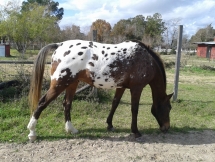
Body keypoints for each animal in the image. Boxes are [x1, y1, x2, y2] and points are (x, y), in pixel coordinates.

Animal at [26, 39, 173, 142]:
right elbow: (134, 109)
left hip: (72, 84)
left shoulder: (121, 87)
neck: (146, 59)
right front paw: (135, 131)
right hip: (60, 84)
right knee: (42, 103)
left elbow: (115, 103)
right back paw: (32, 133)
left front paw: (110, 125)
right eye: (169, 107)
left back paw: (71, 129)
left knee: (67, 104)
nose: (166, 128)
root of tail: (59, 45)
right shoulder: (137, 88)